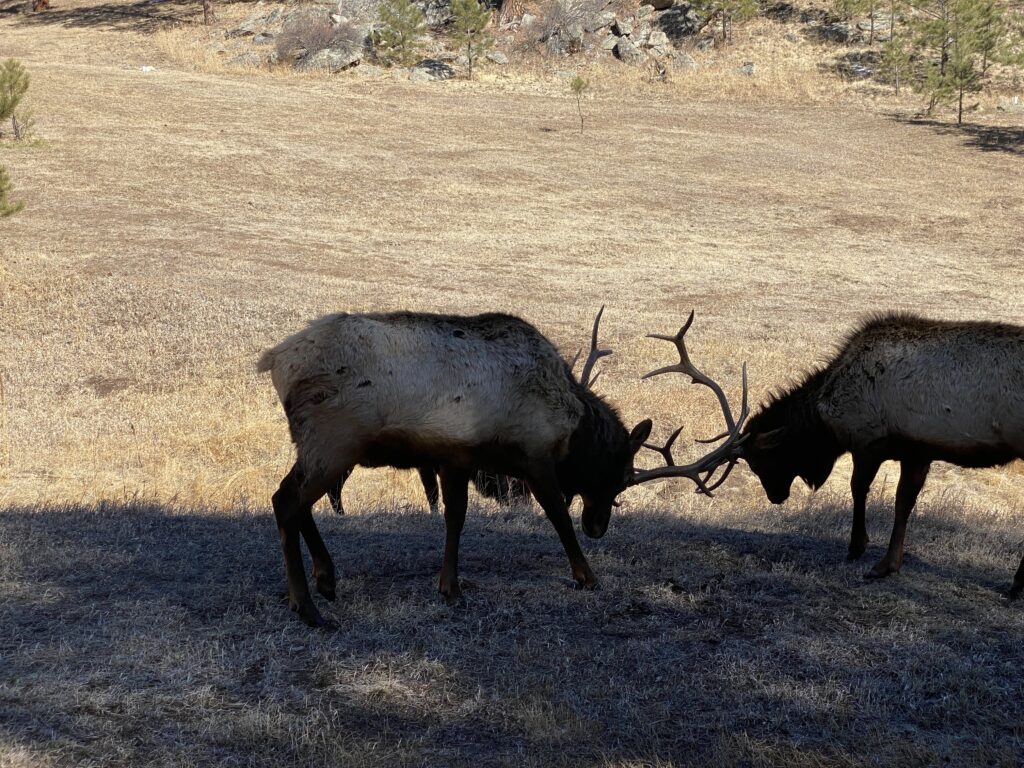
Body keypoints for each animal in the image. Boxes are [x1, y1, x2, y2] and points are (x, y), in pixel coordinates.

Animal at [258, 308, 652, 627]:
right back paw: (306, 607)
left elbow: (455, 517)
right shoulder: (534, 456)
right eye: (621, 478)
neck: (572, 431)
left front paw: (450, 588)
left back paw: (326, 579)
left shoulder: (456, 458)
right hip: (334, 441)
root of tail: (275, 360)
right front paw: (587, 576)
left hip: (318, 445)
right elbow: (558, 516)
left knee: (296, 502)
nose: (598, 527)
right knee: (286, 500)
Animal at [631, 312, 1024, 600]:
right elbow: (903, 504)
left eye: (761, 461)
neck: (825, 415)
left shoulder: (867, 439)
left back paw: (1015, 585)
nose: (775, 497)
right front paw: (889, 564)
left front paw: (858, 548)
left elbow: (859, 490)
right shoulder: (917, 450)